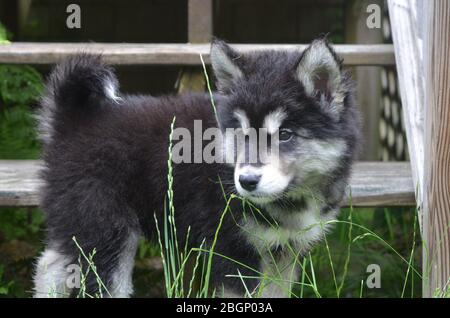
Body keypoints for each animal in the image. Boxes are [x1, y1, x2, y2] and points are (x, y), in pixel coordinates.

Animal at [33, 38, 360, 296]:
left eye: (286, 134)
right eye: (241, 133)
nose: (247, 181)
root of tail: (74, 120)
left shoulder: (285, 252)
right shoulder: (233, 254)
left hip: (80, 223)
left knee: (50, 264)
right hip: (105, 229)